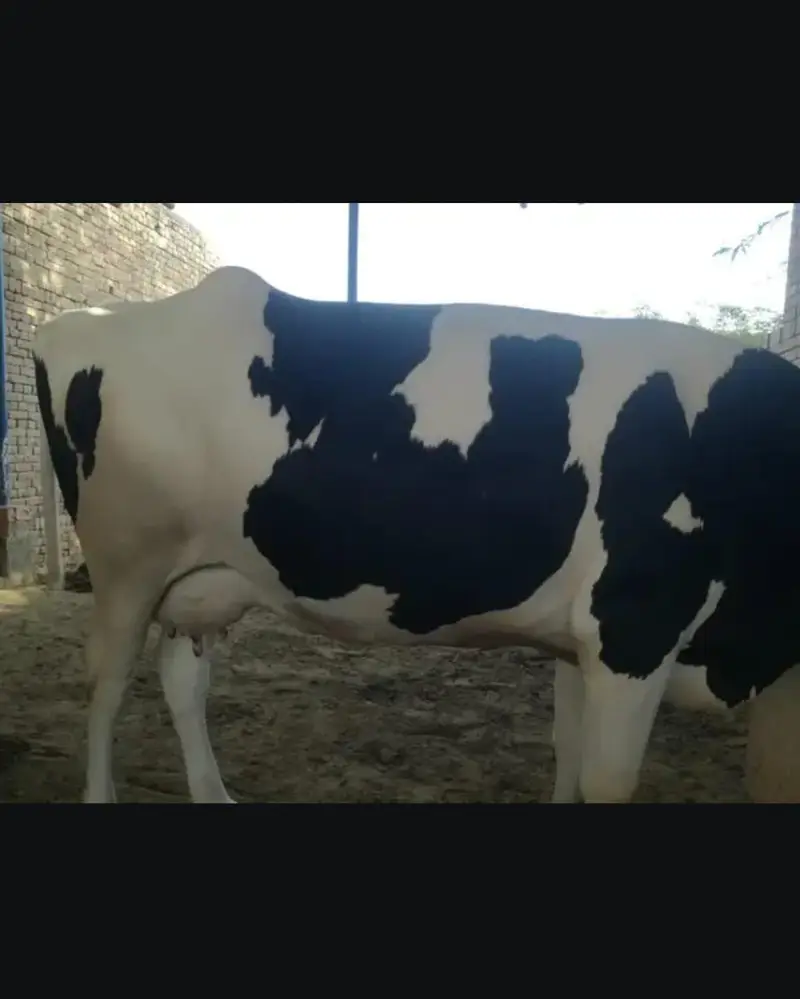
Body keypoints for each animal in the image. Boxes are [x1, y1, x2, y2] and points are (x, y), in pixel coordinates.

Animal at [31, 265, 800, 804]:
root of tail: (82, 319)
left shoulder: (582, 640)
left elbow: (571, 756)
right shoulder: (633, 625)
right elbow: (608, 779)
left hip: (203, 576)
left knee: (182, 680)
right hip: (127, 564)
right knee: (106, 682)